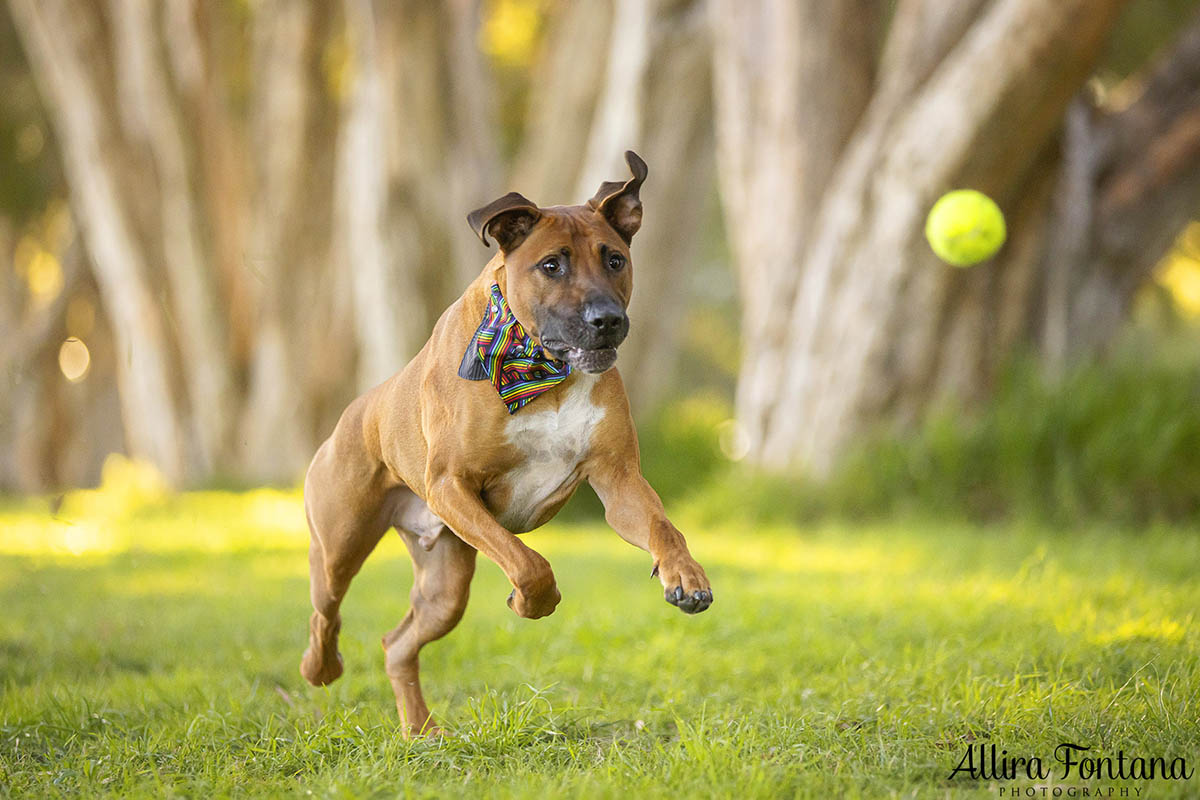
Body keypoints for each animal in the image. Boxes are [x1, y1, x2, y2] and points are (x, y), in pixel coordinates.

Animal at [300, 151, 710, 738]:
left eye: (614, 259)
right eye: (552, 265)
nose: (607, 320)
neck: (543, 369)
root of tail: (351, 415)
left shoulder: (619, 480)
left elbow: (662, 527)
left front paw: (685, 576)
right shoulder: (452, 486)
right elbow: (528, 562)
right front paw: (534, 602)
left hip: (445, 586)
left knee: (397, 644)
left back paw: (421, 732)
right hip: (341, 543)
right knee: (325, 611)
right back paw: (321, 667)